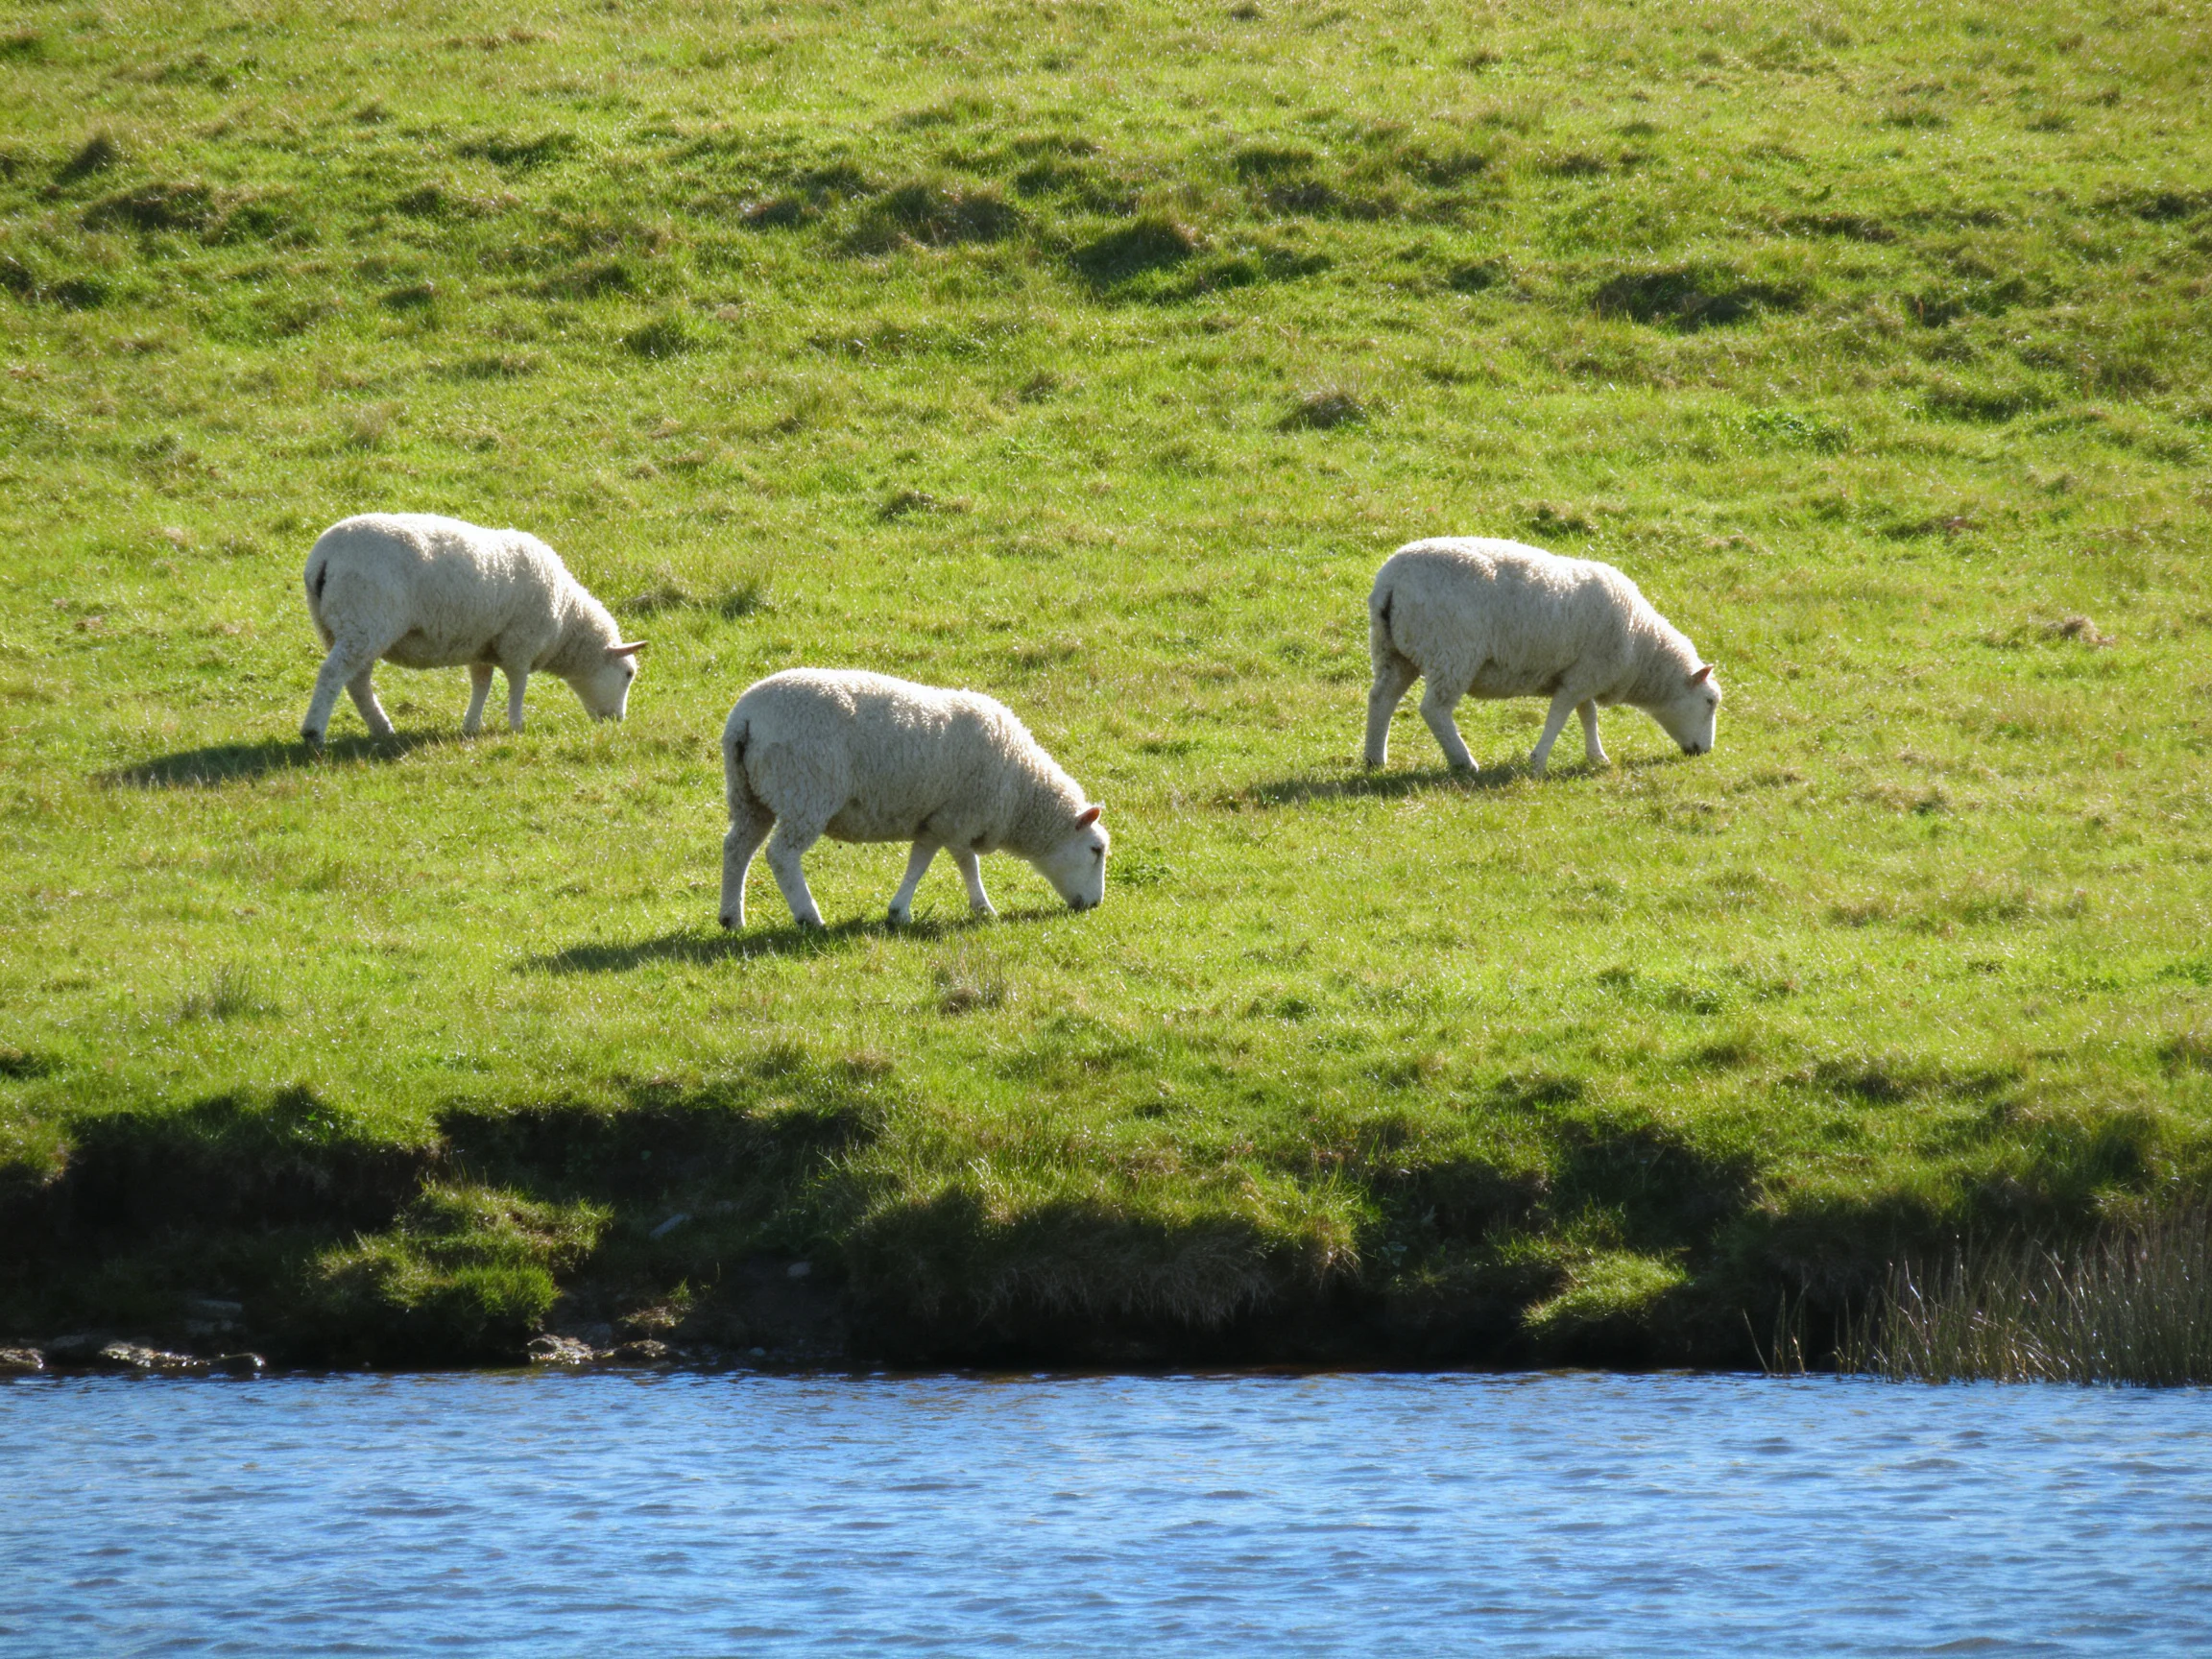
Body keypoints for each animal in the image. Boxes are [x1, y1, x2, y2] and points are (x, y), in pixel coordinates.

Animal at [299, 512, 644, 745]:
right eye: (628, 674)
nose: (617, 722)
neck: (567, 619)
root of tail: (324, 558)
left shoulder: (482, 644)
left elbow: (482, 684)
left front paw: (471, 726)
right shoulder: (520, 643)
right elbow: (518, 685)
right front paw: (517, 725)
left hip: (341, 627)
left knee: (356, 682)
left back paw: (381, 729)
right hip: (364, 621)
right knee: (333, 674)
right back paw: (314, 732)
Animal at [720, 669, 1109, 931]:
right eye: (1096, 850)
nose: (1095, 905)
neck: (1021, 793)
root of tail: (745, 717)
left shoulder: (939, 820)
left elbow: (936, 861)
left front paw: (906, 911)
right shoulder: (955, 818)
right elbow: (948, 865)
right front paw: (976, 908)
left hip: (749, 796)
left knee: (737, 847)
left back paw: (731, 917)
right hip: (805, 791)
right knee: (781, 855)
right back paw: (809, 916)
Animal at [1365, 537, 1720, 775]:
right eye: (1709, 702)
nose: (1705, 751)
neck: (1643, 647)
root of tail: (1391, 582)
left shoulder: (1582, 675)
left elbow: (1587, 715)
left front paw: (1596, 756)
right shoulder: (1583, 676)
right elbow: (1559, 716)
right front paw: (1539, 761)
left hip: (1393, 650)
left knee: (1382, 698)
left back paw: (1374, 758)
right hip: (1452, 652)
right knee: (1434, 709)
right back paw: (1464, 761)